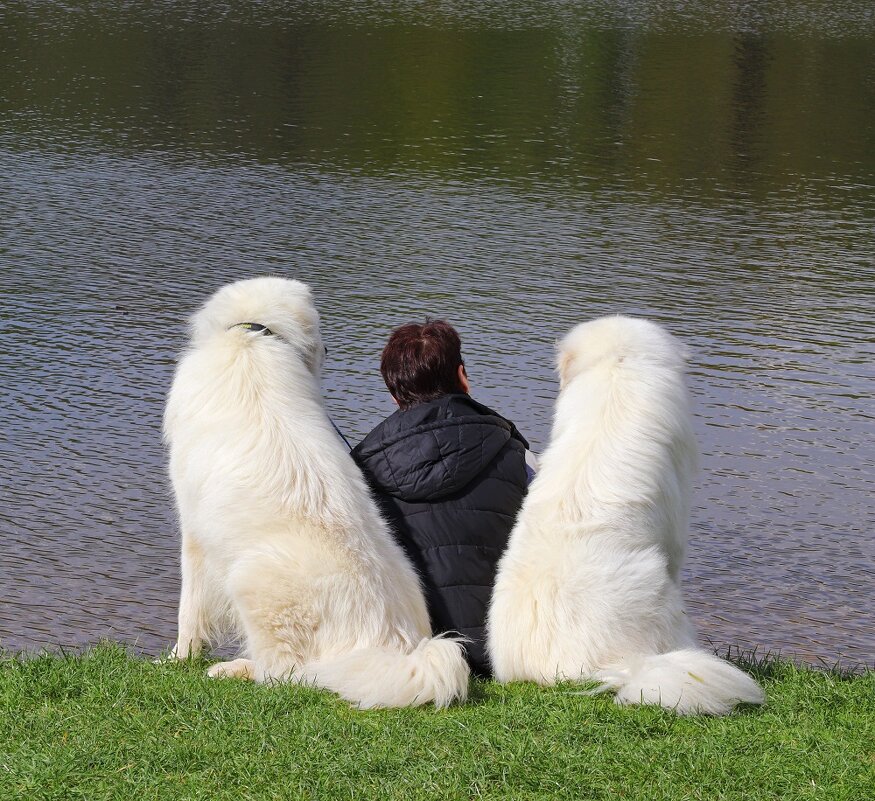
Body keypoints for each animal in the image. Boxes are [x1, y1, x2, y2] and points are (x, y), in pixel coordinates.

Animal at [162, 276, 468, 708]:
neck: (252, 336)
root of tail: (390, 644)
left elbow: (189, 608)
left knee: (287, 674)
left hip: (251, 579)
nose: (327, 350)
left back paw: (232, 669)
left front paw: (178, 657)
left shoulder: (194, 532)